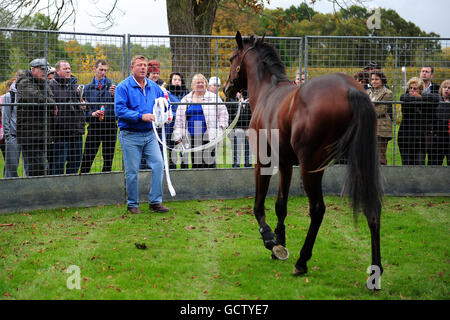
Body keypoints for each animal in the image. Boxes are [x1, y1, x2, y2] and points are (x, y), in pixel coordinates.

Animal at [225, 31, 384, 282]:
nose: (227, 88)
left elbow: (259, 204)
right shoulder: (286, 164)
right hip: (360, 163)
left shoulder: (264, 160)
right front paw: (280, 241)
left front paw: (270, 240)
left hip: (311, 167)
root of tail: (351, 89)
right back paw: (375, 270)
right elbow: (281, 205)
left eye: (231, 58)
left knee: (317, 210)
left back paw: (302, 261)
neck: (268, 92)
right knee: (373, 207)